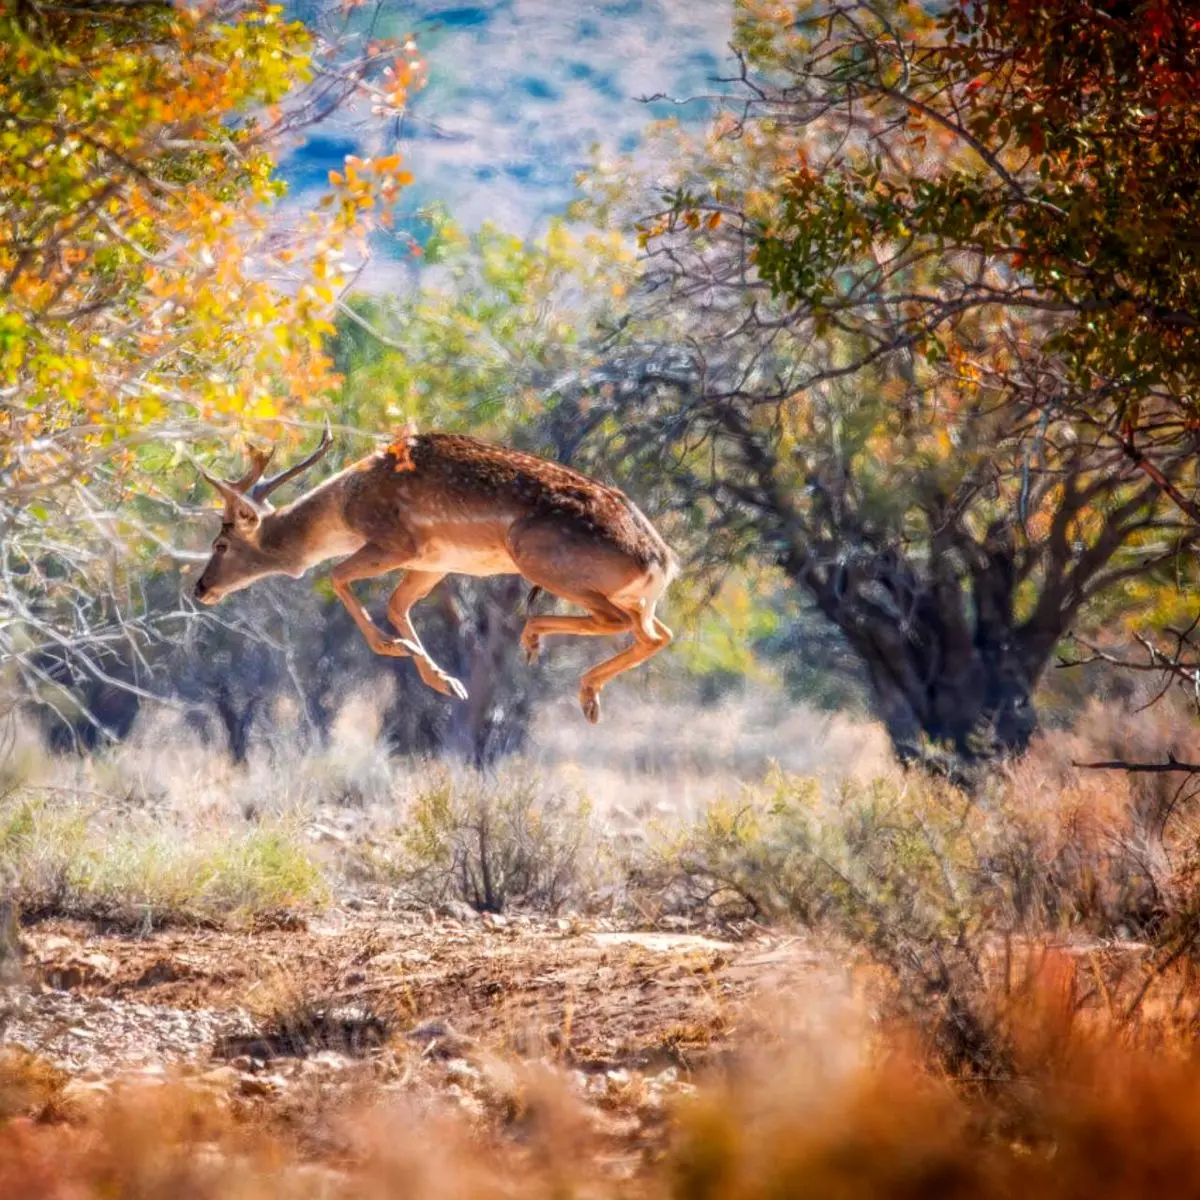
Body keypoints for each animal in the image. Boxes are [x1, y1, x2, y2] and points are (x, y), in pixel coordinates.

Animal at [188, 424, 676, 720]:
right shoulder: (433, 563)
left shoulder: (398, 542)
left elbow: (337, 577)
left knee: (625, 624)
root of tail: (661, 561)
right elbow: (396, 604)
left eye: (221, 544)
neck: (346, 507)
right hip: (634, 597)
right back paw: (587, 695)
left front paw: (393, 646)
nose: (201, 588)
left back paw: (538, 643)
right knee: (658, 633)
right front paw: (446, 683)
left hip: (539, 558)